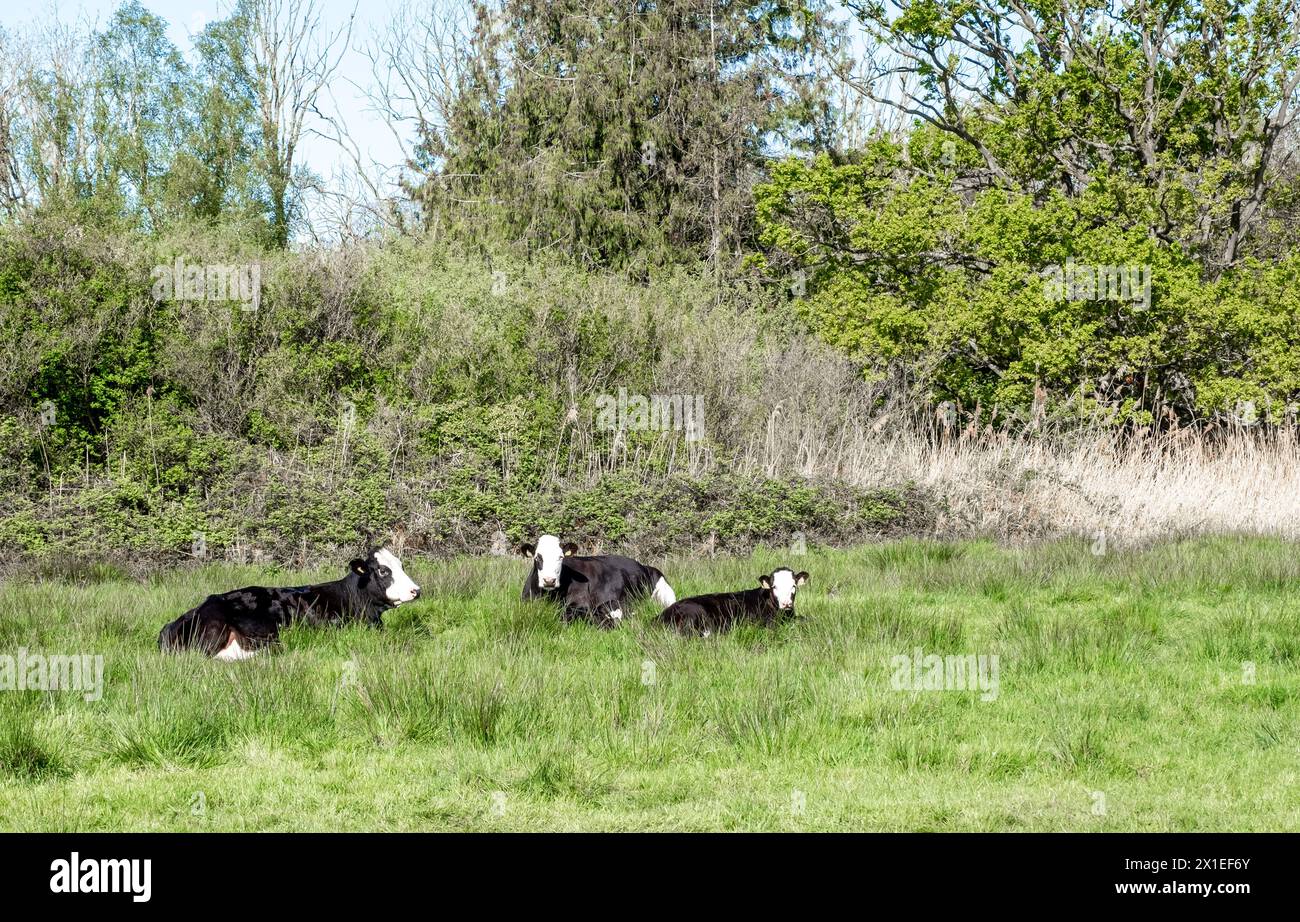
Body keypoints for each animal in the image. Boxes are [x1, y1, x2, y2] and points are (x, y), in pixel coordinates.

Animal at [519, 534, 675, 626]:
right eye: (537, 557)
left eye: (560, 557)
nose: (549, 580)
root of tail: (642, 566)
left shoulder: (581, 604)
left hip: (666, 594)